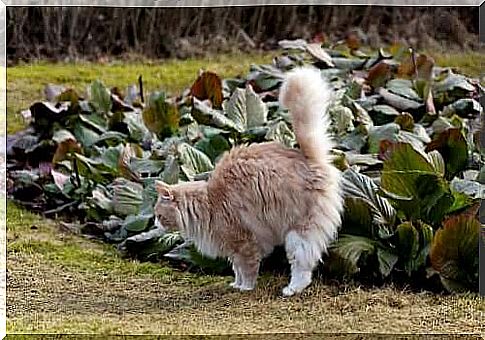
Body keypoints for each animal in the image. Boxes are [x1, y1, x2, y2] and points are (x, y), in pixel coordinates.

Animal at [153, 65, 342, 294]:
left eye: (159, 216)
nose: (155, 224)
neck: (208, 203)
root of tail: (310, 158)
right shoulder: (233, 249)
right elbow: (237, 269)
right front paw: (236, 284)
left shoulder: (244, 243)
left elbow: (247, 269)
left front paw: (246, 288)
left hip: (298, 233)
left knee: (302, 267)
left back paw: (292, 289)